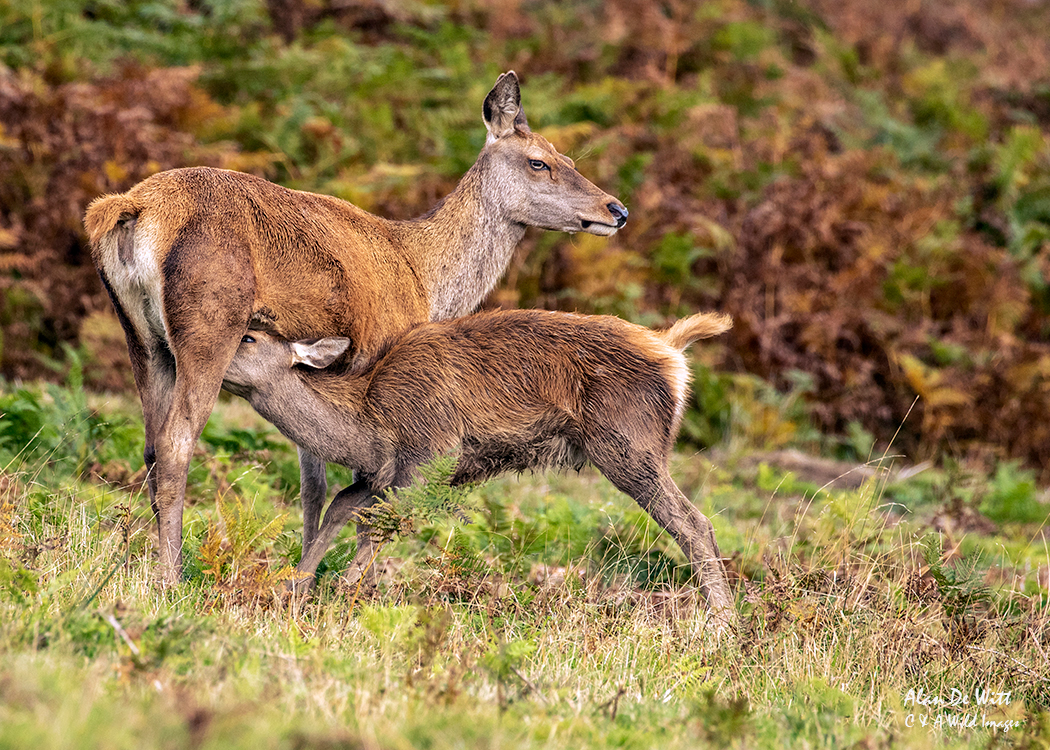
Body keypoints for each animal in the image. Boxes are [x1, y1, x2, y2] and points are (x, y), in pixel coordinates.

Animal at [84, 71, 628, 586]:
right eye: (539, 161)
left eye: (567, 156)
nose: (616, 210)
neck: (427, 280)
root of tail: (132, 210)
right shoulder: (374, 359)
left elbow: (313, 484)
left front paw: (302, 577)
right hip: (208, 322)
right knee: (176, 443)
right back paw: (171, 579)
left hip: (142, 337)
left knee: (150, 445)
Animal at [221, 308, 737, 633]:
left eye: (248, 336)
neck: (369, 423)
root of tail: (672, 353)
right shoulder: (380, 474)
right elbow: (341, 509)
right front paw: (292, 590)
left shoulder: (430, 452)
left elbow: (380, 528)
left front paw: (337, 601)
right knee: (699, 522)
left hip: (626, 445)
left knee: (693, 523)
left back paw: (723, 624)